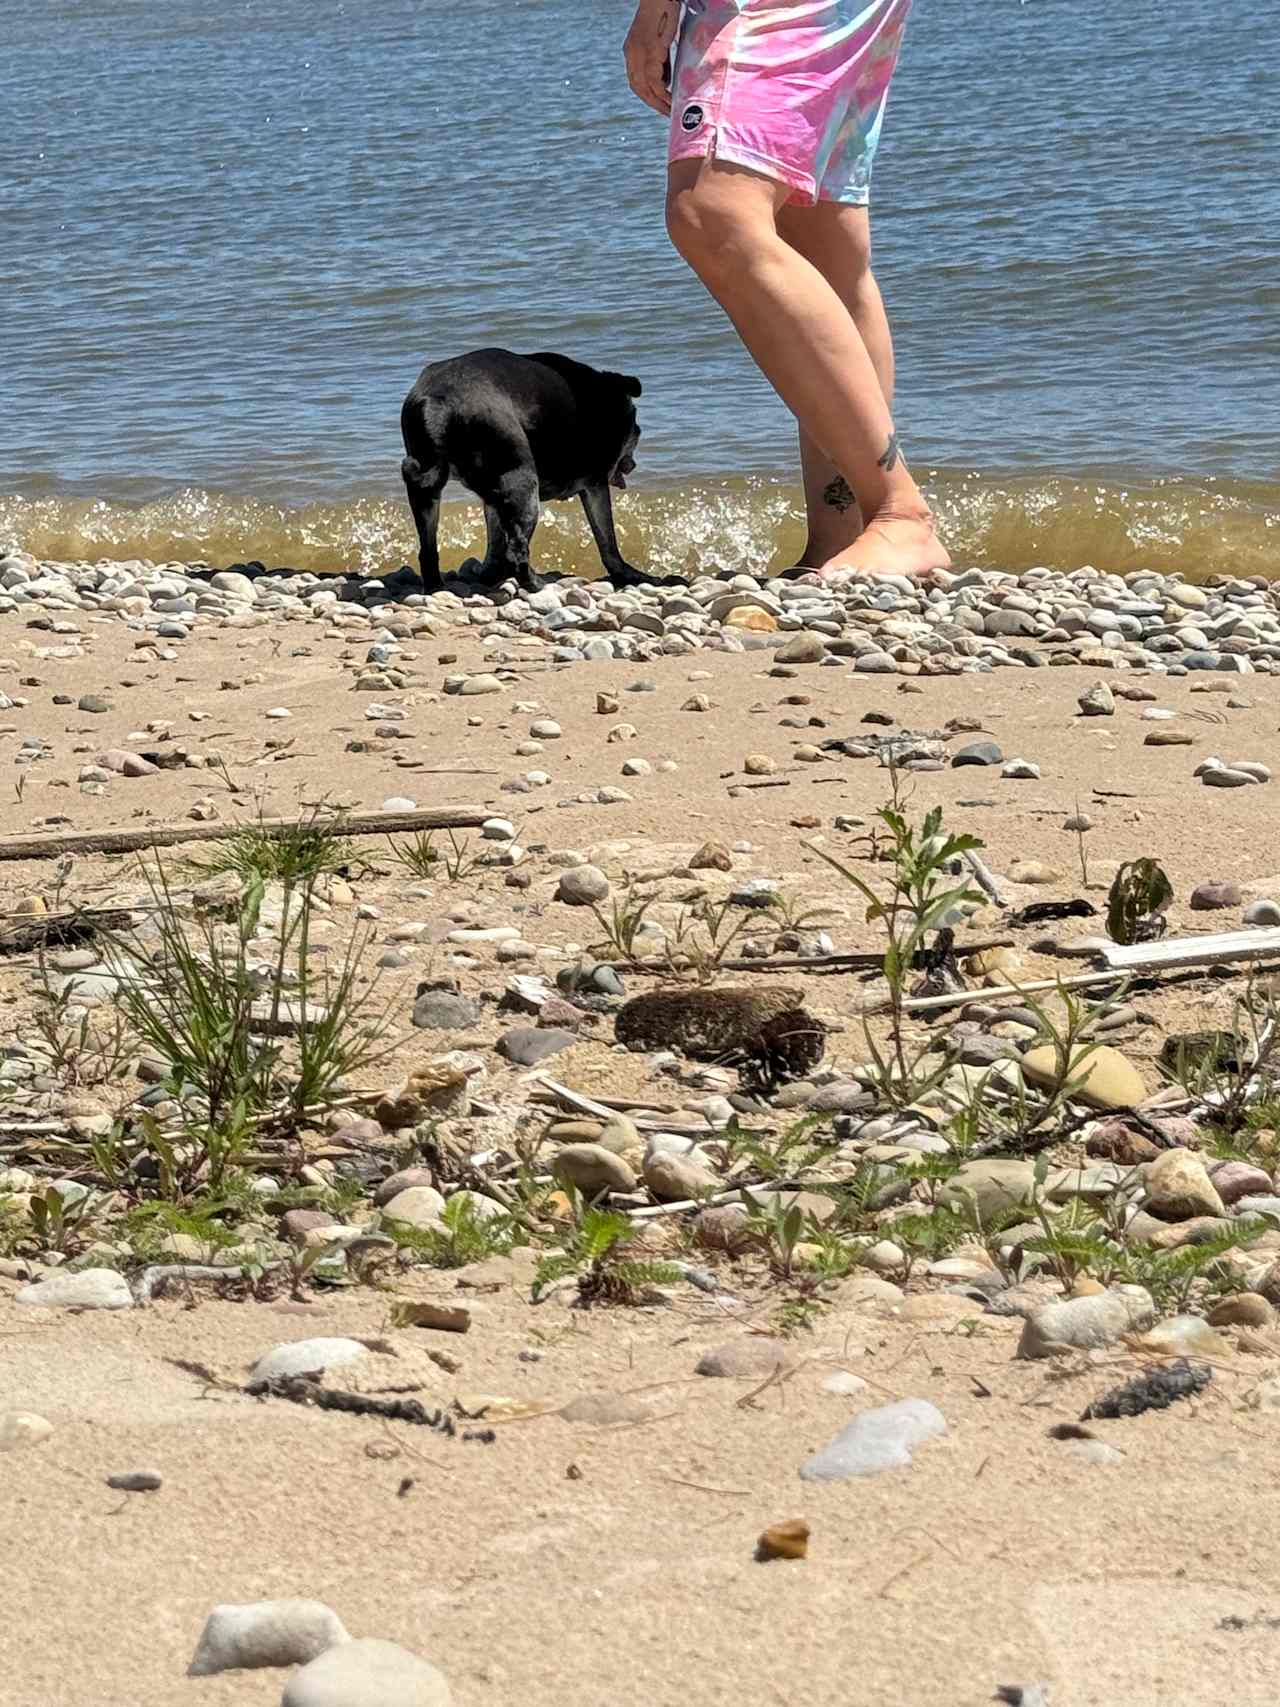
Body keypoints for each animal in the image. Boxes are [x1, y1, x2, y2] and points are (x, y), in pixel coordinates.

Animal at [399, 346, 641, 600]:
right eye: (635, 430)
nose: (632, 464)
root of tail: (439, 401)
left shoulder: (493, 498)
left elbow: (495, 542)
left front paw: (490, 574)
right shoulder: (595, 484)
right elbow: (607, 538)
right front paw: (628, 574)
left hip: (427, 492)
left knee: (428, 550)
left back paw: (436, 586)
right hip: (523, 486)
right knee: (517, 551)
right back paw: (536, 584)